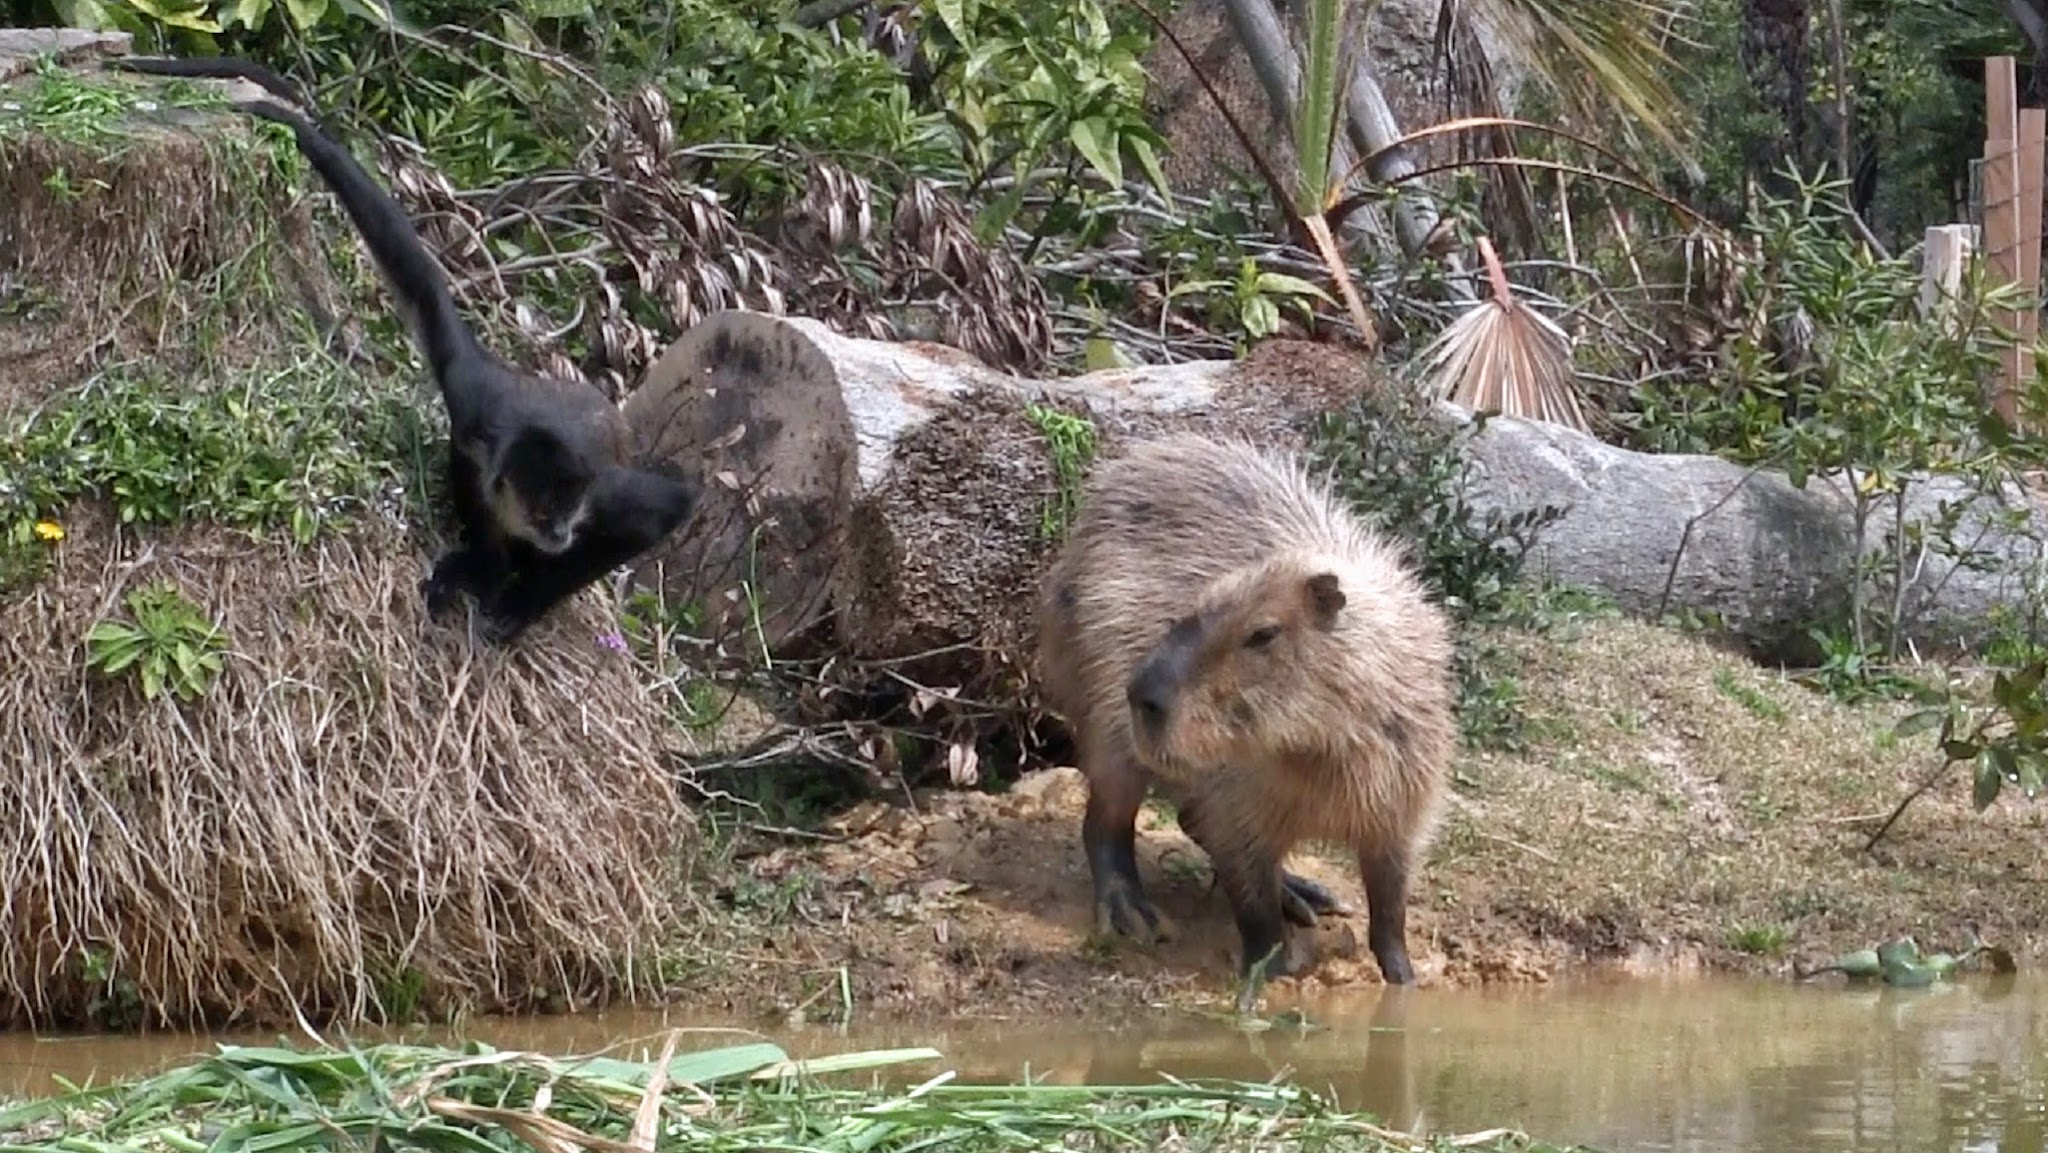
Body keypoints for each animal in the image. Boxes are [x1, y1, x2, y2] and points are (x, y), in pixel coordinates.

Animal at [116, 54, 700, 647]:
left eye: (571, 503)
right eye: (546, 509)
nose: (559, 532)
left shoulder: (597, 491)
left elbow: (669, 507)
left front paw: (521, 600)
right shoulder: (471, 400)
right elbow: (418, 280)